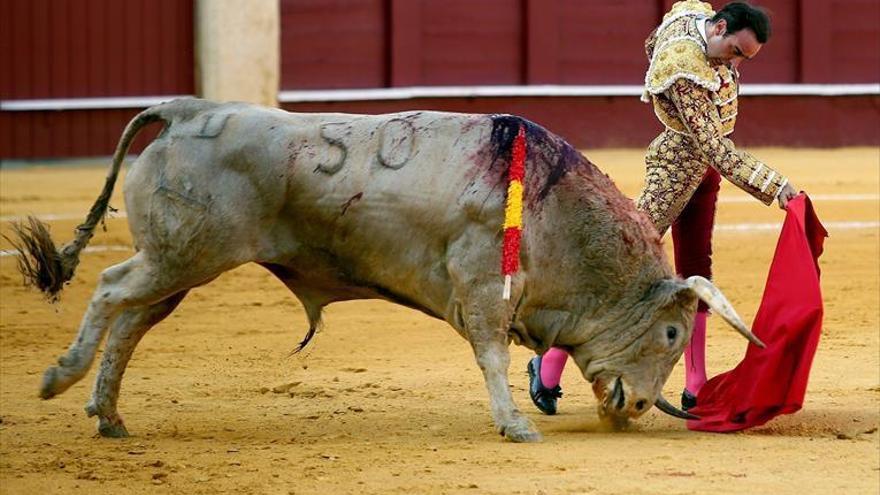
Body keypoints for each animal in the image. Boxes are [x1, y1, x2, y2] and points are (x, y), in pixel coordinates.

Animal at [8, 99, 764, 444]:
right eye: (671, 334)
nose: (635, 407)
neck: (558, 213)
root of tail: (189, 109)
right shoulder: (482, 286)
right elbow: (491, 354)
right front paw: (516, 424)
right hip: (182, 256)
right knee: (111, 291)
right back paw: (58, 379)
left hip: (180, 265)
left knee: (131, 320)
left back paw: (108, 414)